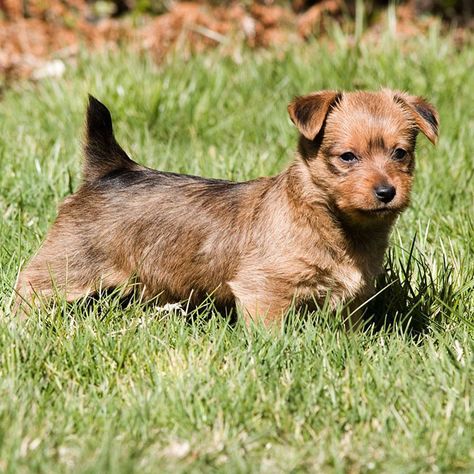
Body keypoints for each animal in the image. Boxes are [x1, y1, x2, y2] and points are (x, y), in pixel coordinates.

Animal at [13, 90, 436, 326]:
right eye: (347, 157)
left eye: (400, 153)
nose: (386, 191)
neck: (328, 218)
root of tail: (111, 169)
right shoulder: (263, 290)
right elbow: (270, 333)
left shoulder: (350, 301)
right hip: (67, 265)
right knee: (30, 286)